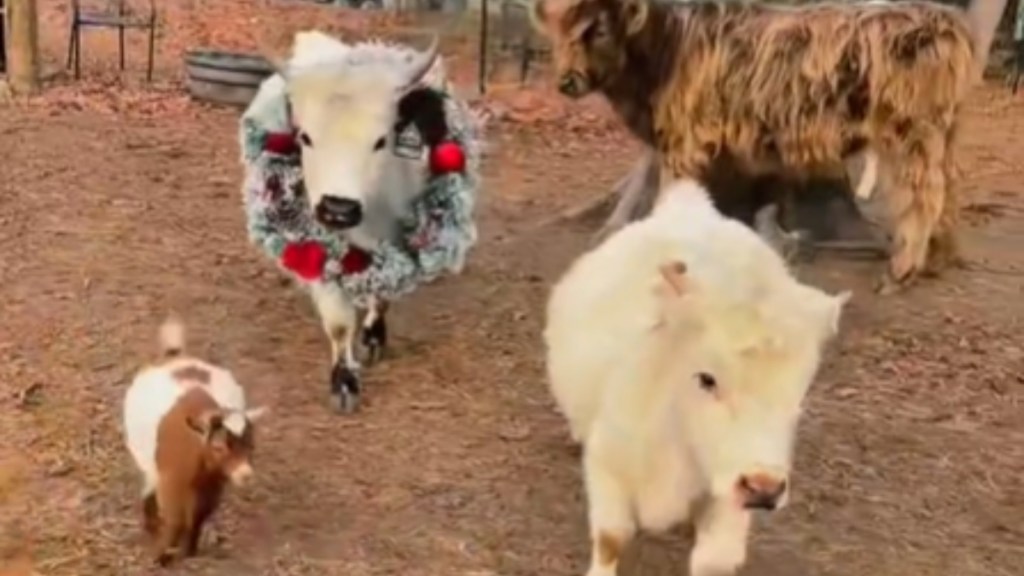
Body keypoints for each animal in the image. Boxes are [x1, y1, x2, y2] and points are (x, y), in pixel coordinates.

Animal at [239, 31, 479, 409]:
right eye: (305, 137)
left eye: (381, 141)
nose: (339, 208)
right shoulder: (317, 245)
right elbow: (338, 322)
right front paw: (344, 380)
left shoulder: (399, 242)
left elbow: (383, 293)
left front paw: (374, 337)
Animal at [536, 0, 1007, 291]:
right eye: (557, 28)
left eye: (597, 28)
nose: (566, 81)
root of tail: (948, 21)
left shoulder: (685, 138)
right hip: (943, 132)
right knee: (949, 186)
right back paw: (940, 259)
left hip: (912, 131)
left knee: (925, 194)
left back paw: (901, 272)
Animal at [544, 178, 847, 573]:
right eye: (706, 379)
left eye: (800, 392)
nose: (763, 488)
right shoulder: (608, 465)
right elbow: (611, 538)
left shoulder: (726, 498)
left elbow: (713, 559)